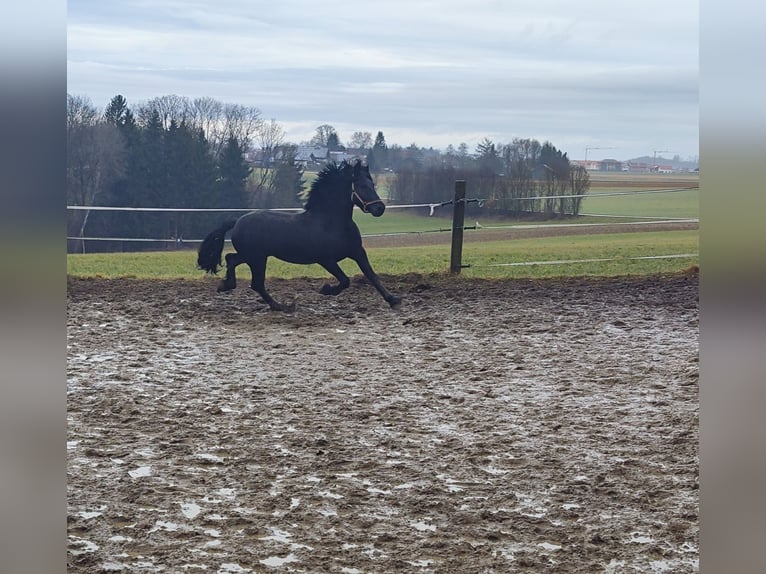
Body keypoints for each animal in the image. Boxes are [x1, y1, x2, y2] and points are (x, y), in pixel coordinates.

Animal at [197, 159, 401, 312]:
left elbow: (372, 275)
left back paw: (226, 285)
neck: (332, 223)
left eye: (372, 184)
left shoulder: (357, 252)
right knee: (256, 283)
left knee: (231, 259)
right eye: (361, 186)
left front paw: (393, 300)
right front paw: (325, 289)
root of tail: (238, 221)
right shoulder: (325, 259)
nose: (379, 208)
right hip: (257, 258)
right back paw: (282, 306)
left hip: (252, 256)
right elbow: (345, 280)